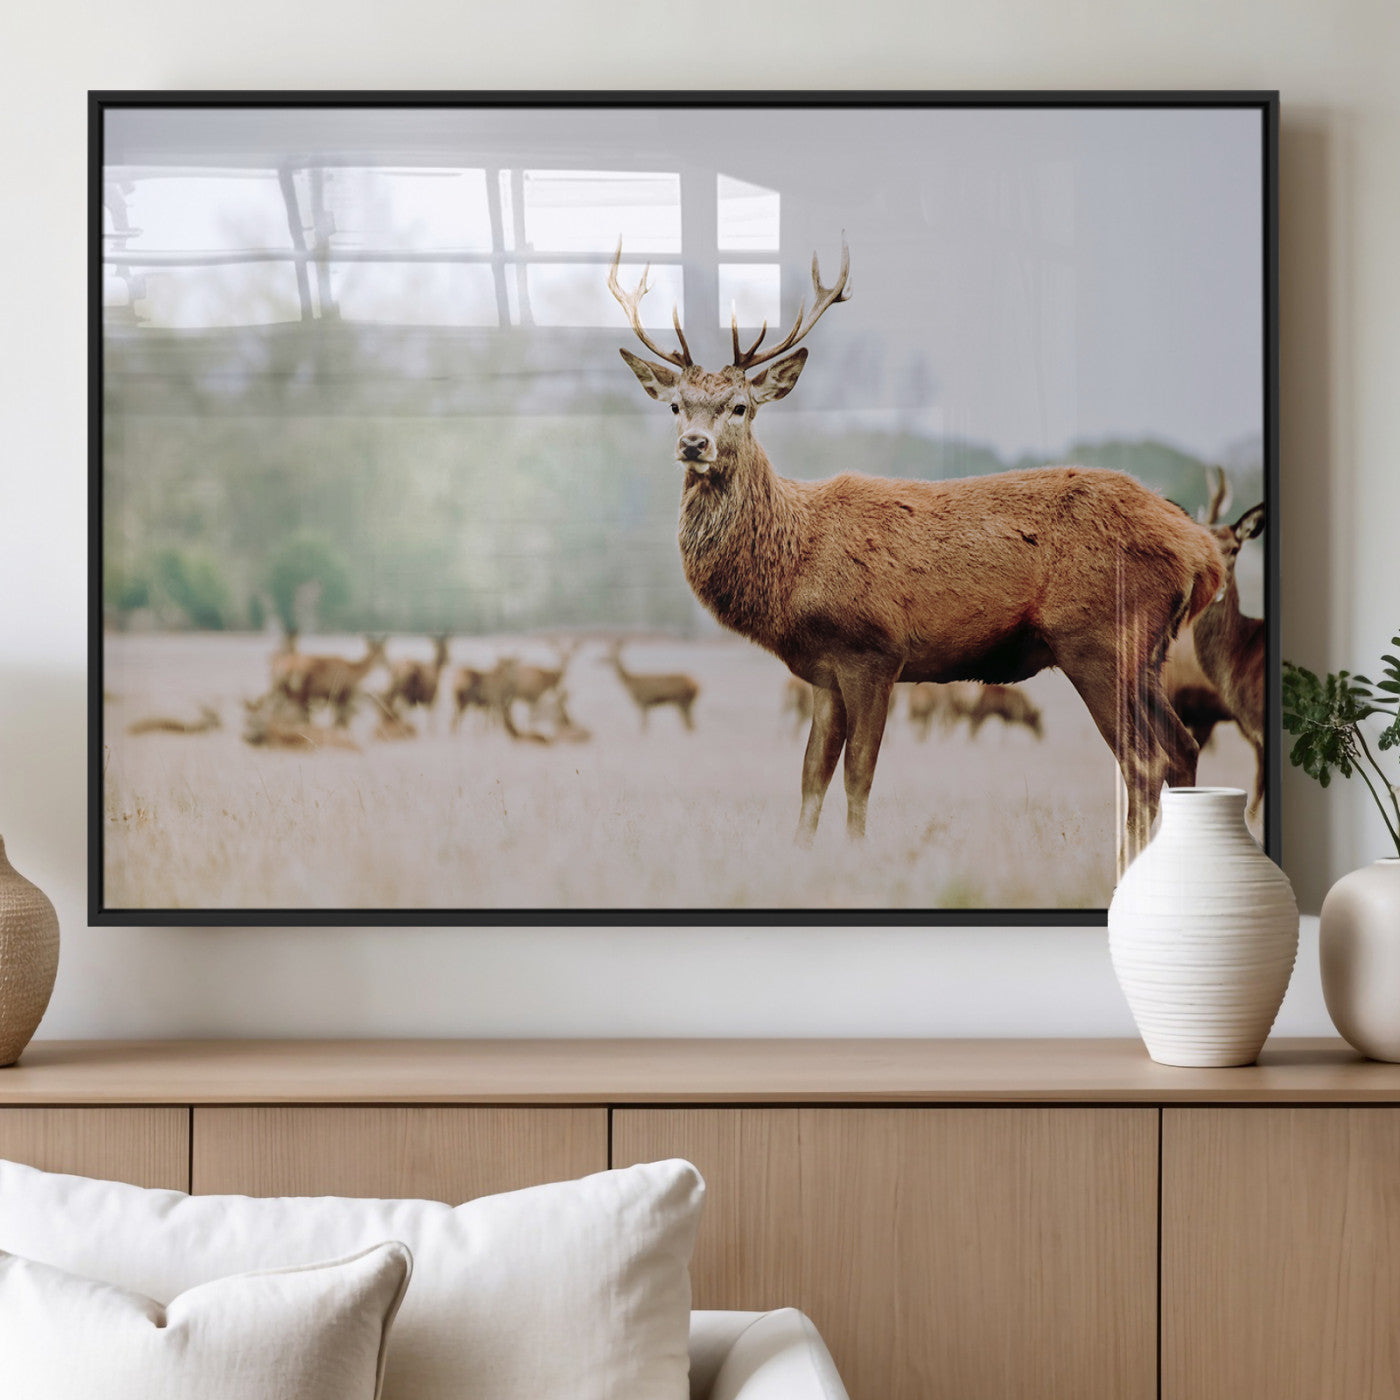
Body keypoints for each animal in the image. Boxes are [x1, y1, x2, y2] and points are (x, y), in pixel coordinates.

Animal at [610, 236, 1224, 863]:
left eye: (739, 406)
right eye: (675, 406)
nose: (694, 444)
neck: (796, 560)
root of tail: (1203, 552)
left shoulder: (874, 650)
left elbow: (858, 774)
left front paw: (858, 854)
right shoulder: (824, 671)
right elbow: (811, 776)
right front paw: (801, 854)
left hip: (1098, 638)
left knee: (1146, 761)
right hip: (1145, 652)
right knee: (1182, 749)